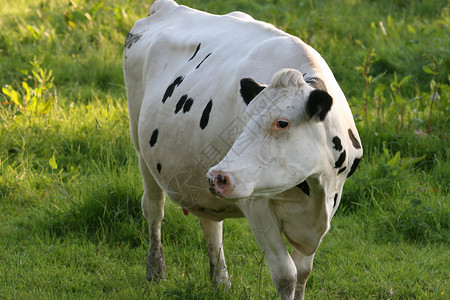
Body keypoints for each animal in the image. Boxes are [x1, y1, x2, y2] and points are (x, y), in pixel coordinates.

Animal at [122, 1, 362, 298]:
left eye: (282, 122)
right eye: (244, 119)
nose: (219, 176)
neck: (318, 190)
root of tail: (167, 7)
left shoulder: (328, 202)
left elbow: (304, 272)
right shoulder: (256, 204)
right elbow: (287, 276)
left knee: (211, 224)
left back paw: (221, 282)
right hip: (141, 149)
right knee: (154, 209)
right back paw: (156, 271)